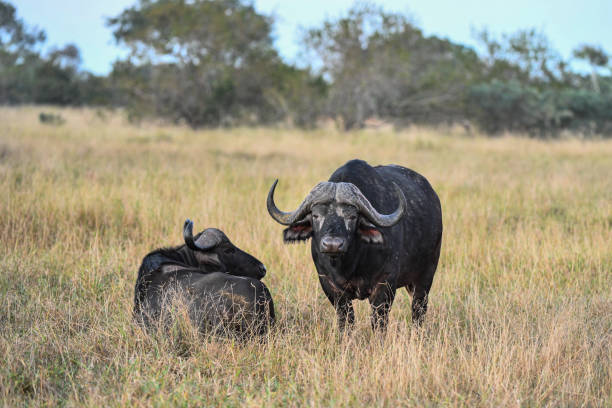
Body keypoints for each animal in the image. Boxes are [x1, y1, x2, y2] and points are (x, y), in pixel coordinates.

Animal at [266, 159, 442, 332]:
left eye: (352, 217)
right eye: (315, 215)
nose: (332, 245)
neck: (350, 264)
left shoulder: (385, 285)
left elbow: (379, 322)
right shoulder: (330, 285)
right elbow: (346, 320)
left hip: (425, 278)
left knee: (418, 310)